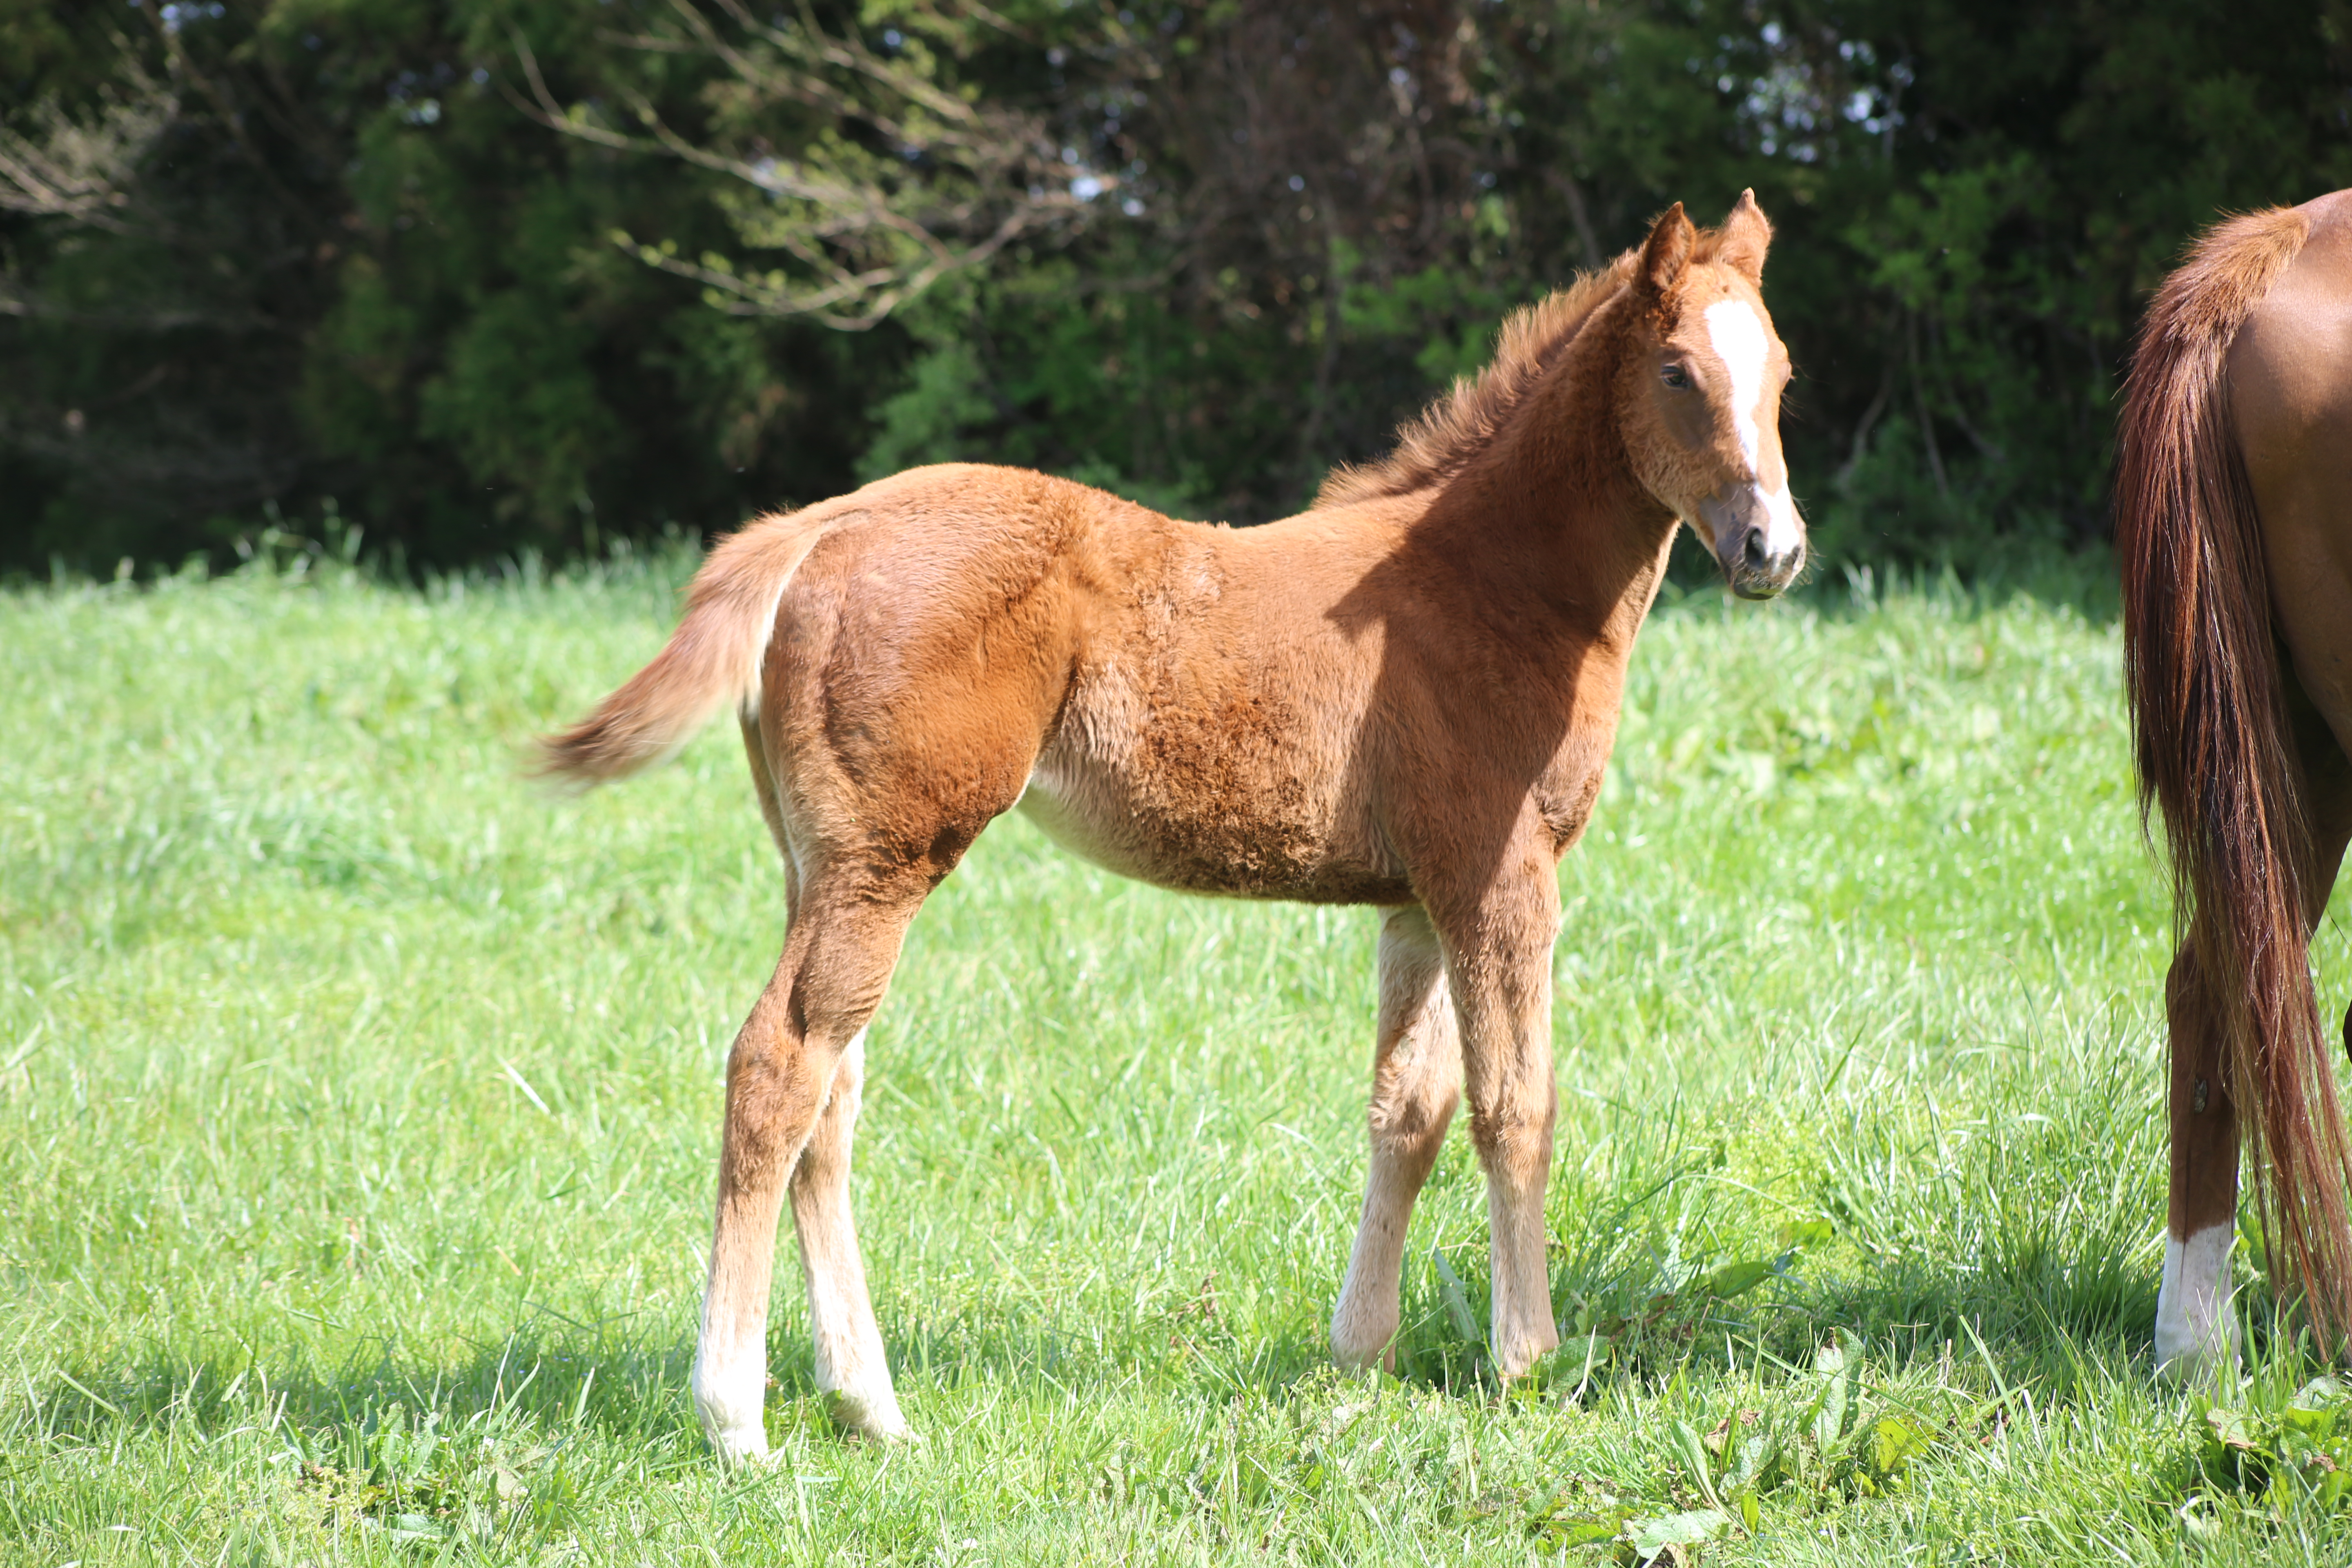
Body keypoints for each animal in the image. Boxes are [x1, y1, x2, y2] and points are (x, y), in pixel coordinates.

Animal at [546, 193, 1797, 1457]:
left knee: (831, 1094)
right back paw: (735, 1419)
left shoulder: (1418, 899)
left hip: (820, 861)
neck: (1491, 583)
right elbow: (1516, 1108)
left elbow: (1411, 1110)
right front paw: (1526, 1363)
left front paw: (1361, 1355)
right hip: (887, 858)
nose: (1772, 550)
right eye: (1678, 371)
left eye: (1782, 374)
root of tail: (817, 527)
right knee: (777, 1067)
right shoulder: (1502, 880)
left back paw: (872, 1406)